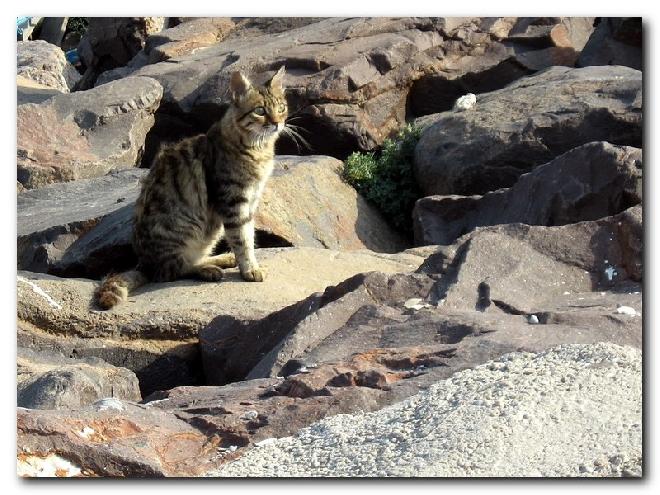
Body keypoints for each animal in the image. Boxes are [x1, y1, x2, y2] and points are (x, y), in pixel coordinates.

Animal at [96, 66, 288, 310]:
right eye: (260, 111)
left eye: (281, 108)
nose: (277, 123)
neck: (258, 149)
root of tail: (144, 263)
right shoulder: (233, 202)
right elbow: (242, 240)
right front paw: (250, 269)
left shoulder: (251, 200)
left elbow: (249, 236)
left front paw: (247, 262)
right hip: (187, 230)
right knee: (173, 270)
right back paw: (208, 269)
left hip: (210, 232)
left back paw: (222, 259)